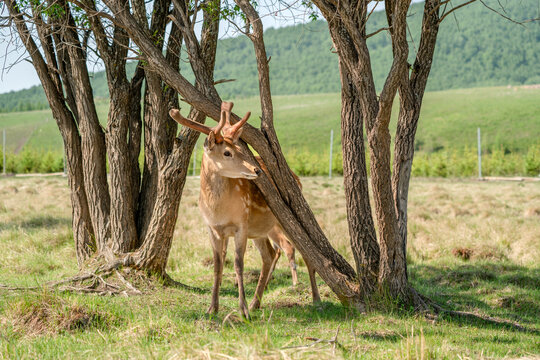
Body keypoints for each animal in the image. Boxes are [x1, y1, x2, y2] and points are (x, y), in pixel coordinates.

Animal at [171, 101, 318, 318]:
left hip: (284, 221)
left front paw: (243, 310)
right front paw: (212, 308)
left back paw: (316, 298)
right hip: (260, 230)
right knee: (269, 255)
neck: (218, 210)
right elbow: (217, 265)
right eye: (227, 152)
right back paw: (257, 302)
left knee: (305, 252)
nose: (256, 170)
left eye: (240, 148)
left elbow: (238, 264)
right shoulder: (212, 228)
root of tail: (296, 178)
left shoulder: (241, 225)